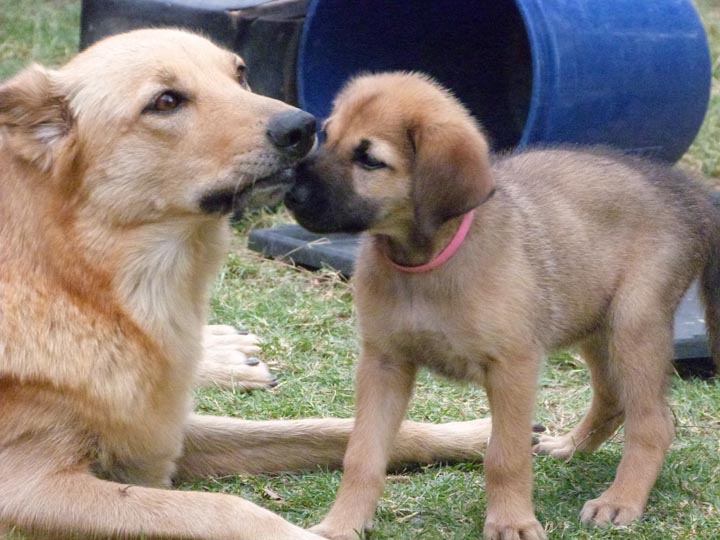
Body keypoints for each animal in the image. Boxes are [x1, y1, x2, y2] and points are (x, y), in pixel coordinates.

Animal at [0, 34, 498, 540]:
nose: (302, 127)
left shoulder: (169, 429)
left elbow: (340, 429)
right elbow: (228, 509)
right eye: (165, 101)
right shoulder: (29, 486)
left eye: (240, 74)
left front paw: (478, 434)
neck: (87, 288)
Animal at [286, 73, 720, 540]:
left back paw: (620, 499)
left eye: (369, 160)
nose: (290, 192)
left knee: (653, 421)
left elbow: (505, 456)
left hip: (633, 325)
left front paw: (512, 521)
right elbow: (362, 454)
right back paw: (570, 447)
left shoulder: (513, 366)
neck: (423, 266)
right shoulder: (383, 363)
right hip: (592, 320)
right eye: (326, 135)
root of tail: (692, 193)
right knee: (611, 398)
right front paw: (341, 523)